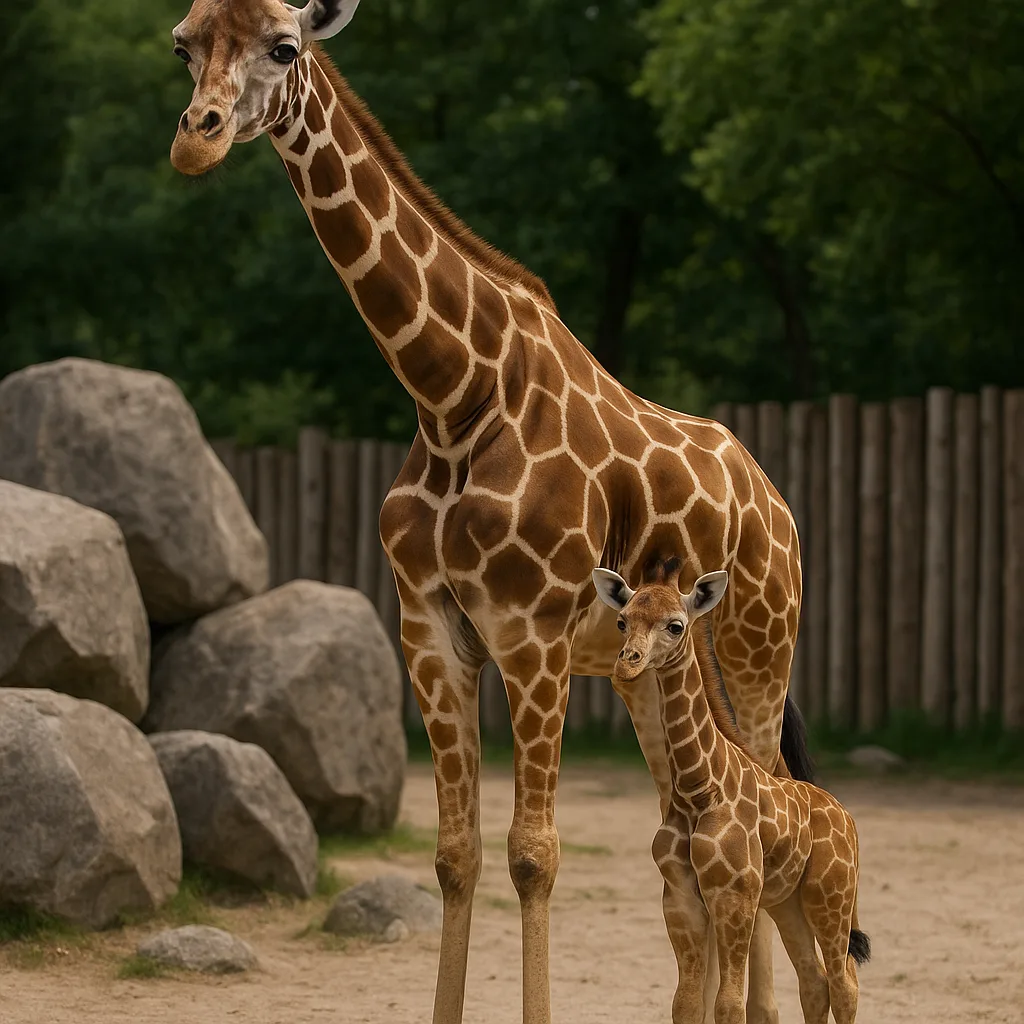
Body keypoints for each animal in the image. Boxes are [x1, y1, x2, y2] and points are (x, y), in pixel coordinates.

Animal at [166, 2, 808, 1021]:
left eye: (284, 46)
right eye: (183, 43)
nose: (199, 138)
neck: (453, 393)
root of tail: (775, 502)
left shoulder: (533, 637)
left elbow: (534, 855)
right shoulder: (432, 631)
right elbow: (455, 855)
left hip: (757, 650)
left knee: (770, 797)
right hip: (650, 676)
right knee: (688, 824)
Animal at [594, 560, 870, 1024]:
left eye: (675, 625)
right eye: (622, 621)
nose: (627, 665)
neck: (699, 786)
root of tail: (845, 815)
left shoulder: (733, 895)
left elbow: (728, 1004)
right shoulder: (680, 897)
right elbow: (686, 1003)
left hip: (831, 894)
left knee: (844, 982)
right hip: (788, 901)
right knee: (814, 982)